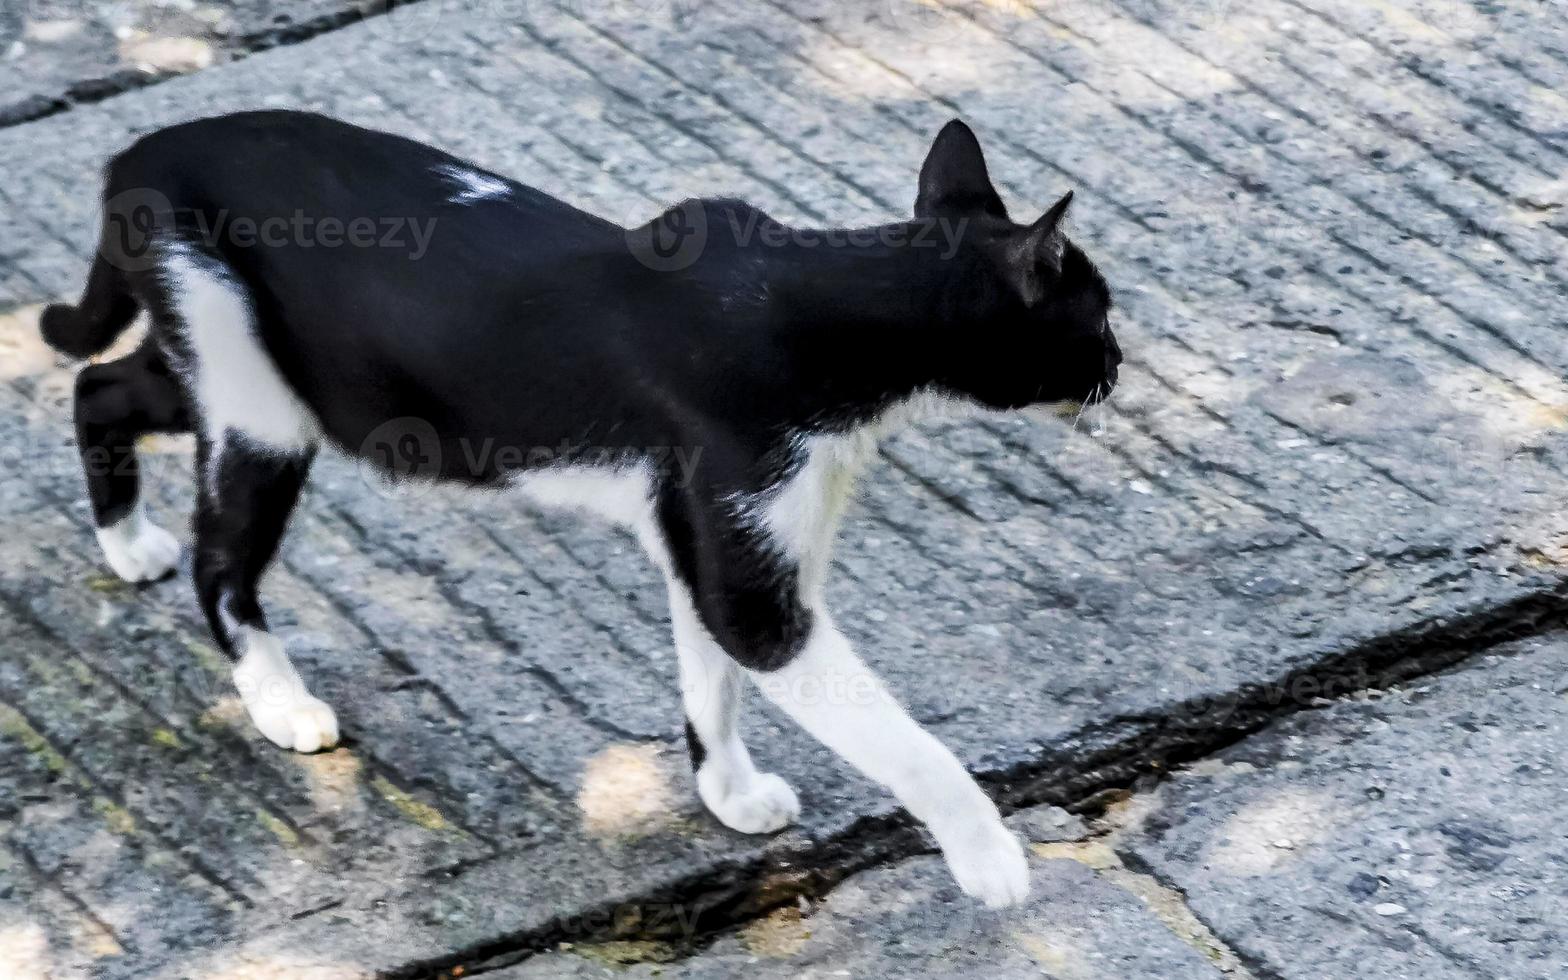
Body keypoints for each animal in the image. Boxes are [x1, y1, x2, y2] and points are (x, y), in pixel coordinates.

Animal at [36, 110, 1116, 903]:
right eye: (1098, 316)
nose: (1118, 363)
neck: (825, 310)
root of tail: (139, 149)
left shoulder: (700, 532)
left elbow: (707, 679)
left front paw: (726, 792)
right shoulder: (756, 587)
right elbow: (897, 737)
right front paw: (989, 857)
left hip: (262, 377)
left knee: (99, 382)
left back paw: (127, 541)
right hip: (259, 406)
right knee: (222, 558)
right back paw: (277, 699)